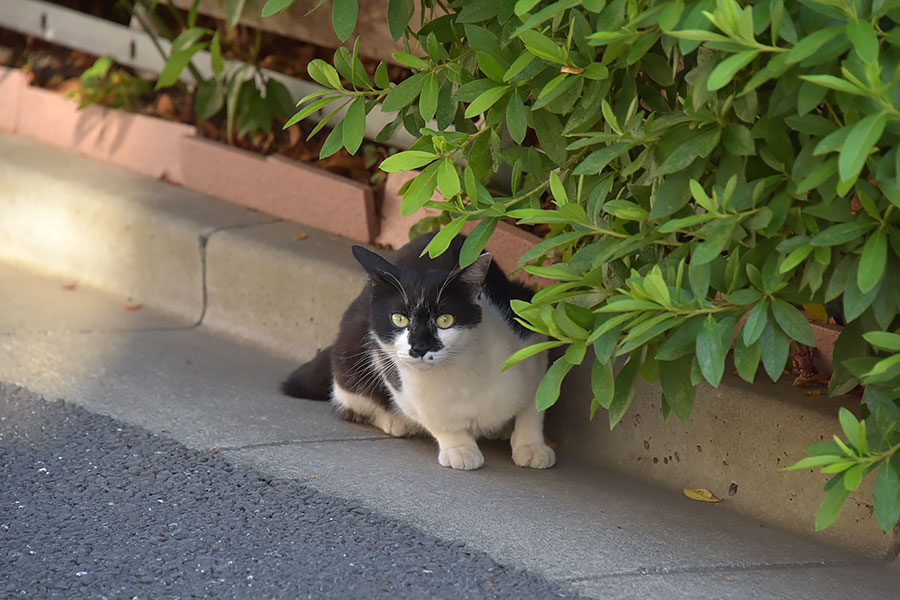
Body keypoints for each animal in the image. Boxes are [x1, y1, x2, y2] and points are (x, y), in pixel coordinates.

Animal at [284, 232, 556, 472]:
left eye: (445, 320)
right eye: (399, 319)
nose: (419, 348)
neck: (457, 376)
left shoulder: (530, 331)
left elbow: (535, 405)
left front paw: (531, 446)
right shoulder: (399, 380)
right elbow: (433, 418)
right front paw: (459, 448)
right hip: (350, 360)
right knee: (347, 405)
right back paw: (396, 421)